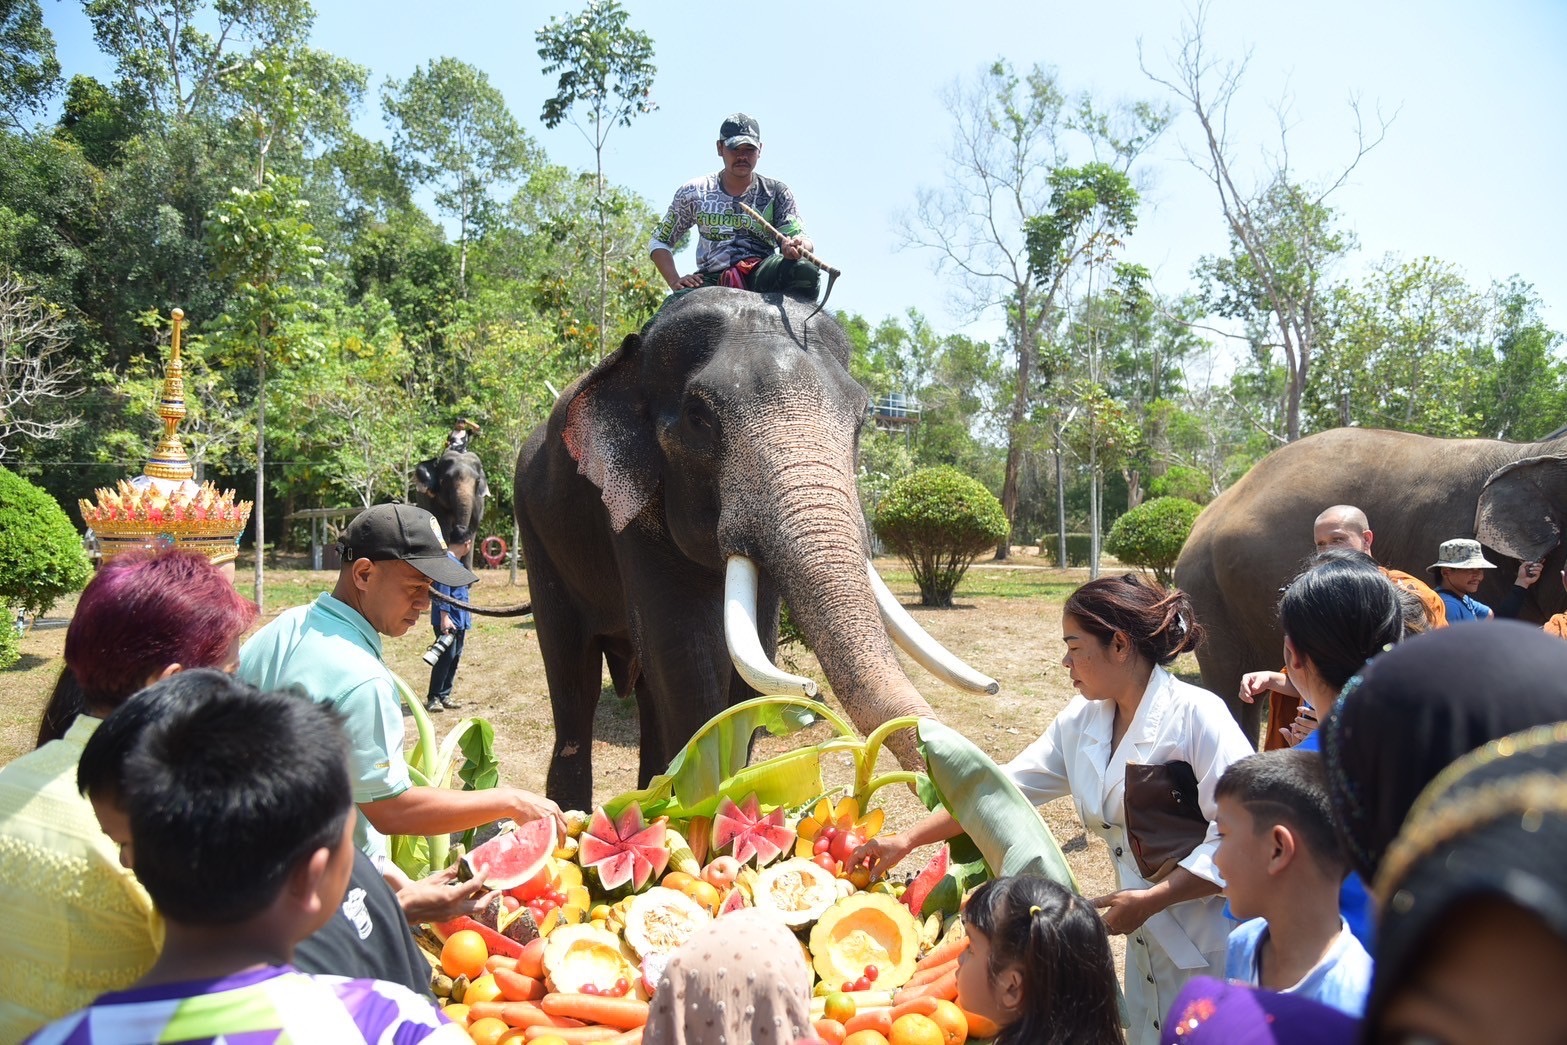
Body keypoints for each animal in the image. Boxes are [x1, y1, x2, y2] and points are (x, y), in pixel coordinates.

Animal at [520, 289, 996, 814]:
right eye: (699, 419)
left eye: (862, 420)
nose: (995, 685)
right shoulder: (629, 515)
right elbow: (686, 663)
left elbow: (748, 675)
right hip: (538, 539)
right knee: (574, 682)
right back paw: (569, 814)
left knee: (643, 688)